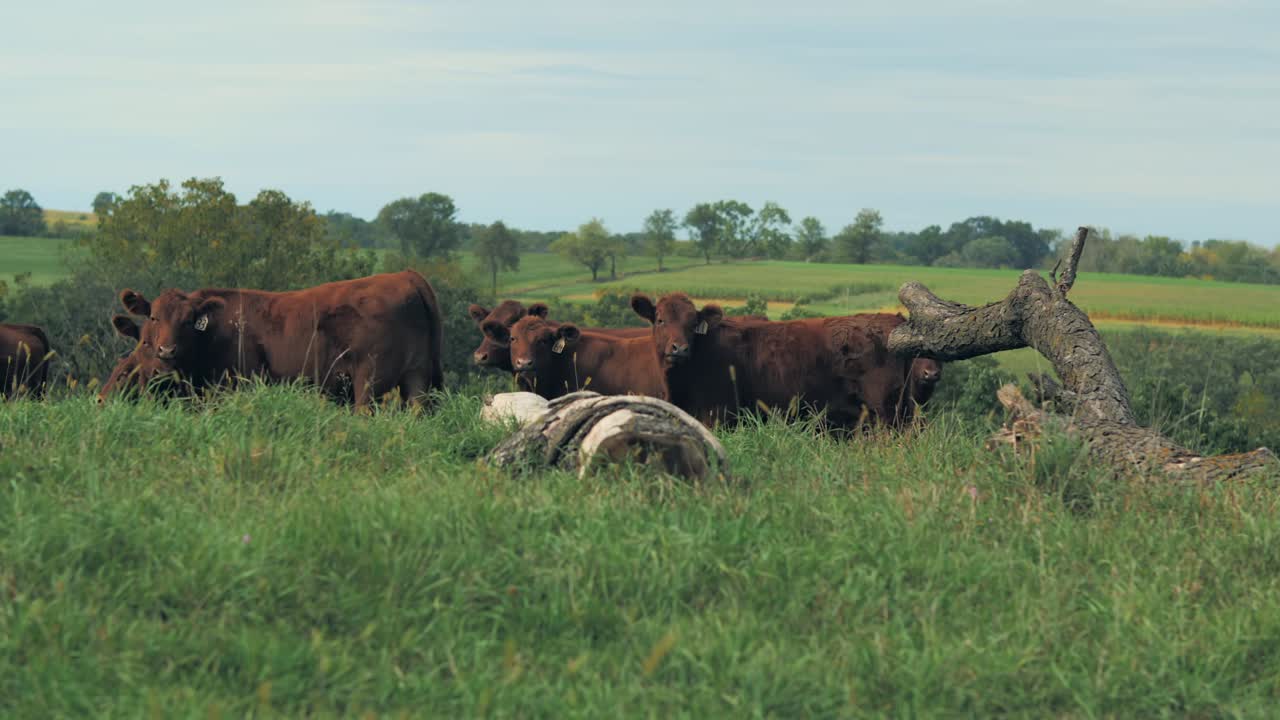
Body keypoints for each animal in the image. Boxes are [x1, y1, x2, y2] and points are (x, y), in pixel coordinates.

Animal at [100, 270, 444, 408]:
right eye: (154, 317)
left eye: (188, 321)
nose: (166, 350)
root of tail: (405, 275)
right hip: (417, 378)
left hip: (369, 381)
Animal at [630, 293, 918, 429]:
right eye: (660, 320)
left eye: (692, 324)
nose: (679, 348)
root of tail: (892, 319)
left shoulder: (718, 415)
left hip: (885, 411)